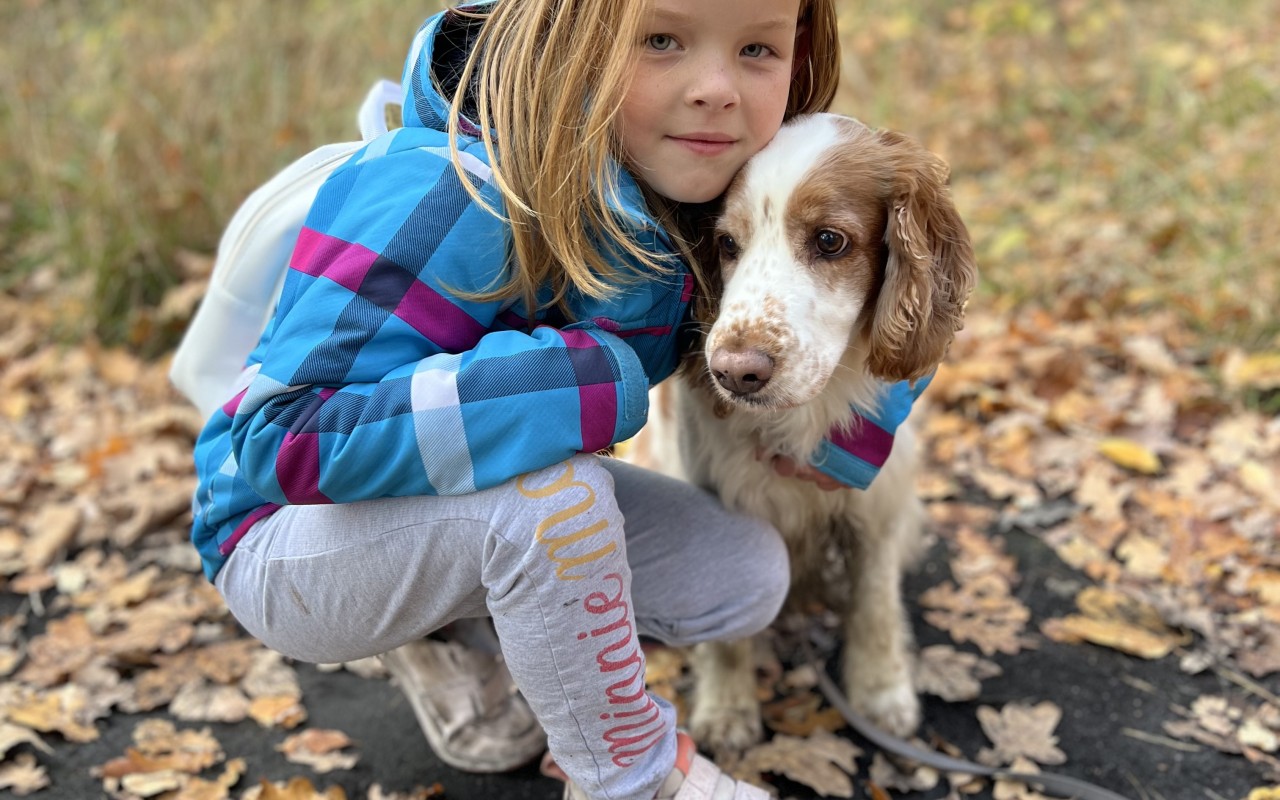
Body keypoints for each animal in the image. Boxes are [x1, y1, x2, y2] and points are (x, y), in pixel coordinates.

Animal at [632, 110, 977, 747]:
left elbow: (874, 606)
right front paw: (727, 707)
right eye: (727, 244)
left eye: (829, 240)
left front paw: (881, 693)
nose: (735, 372)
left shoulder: (877, 508)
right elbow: (728, 631)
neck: (807, 416)